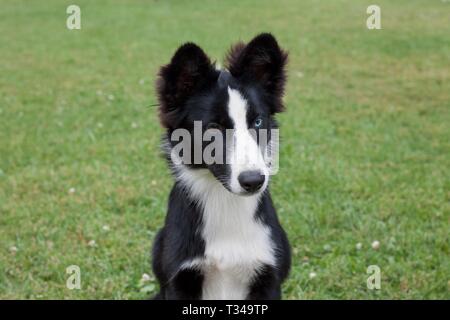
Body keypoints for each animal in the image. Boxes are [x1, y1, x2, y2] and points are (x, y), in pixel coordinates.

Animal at [152, 33, 292, 298]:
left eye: (258, 122)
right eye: (213, 128)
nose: (253, 181)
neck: (224, 201)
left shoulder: (269, 278)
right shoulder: (178, 280)